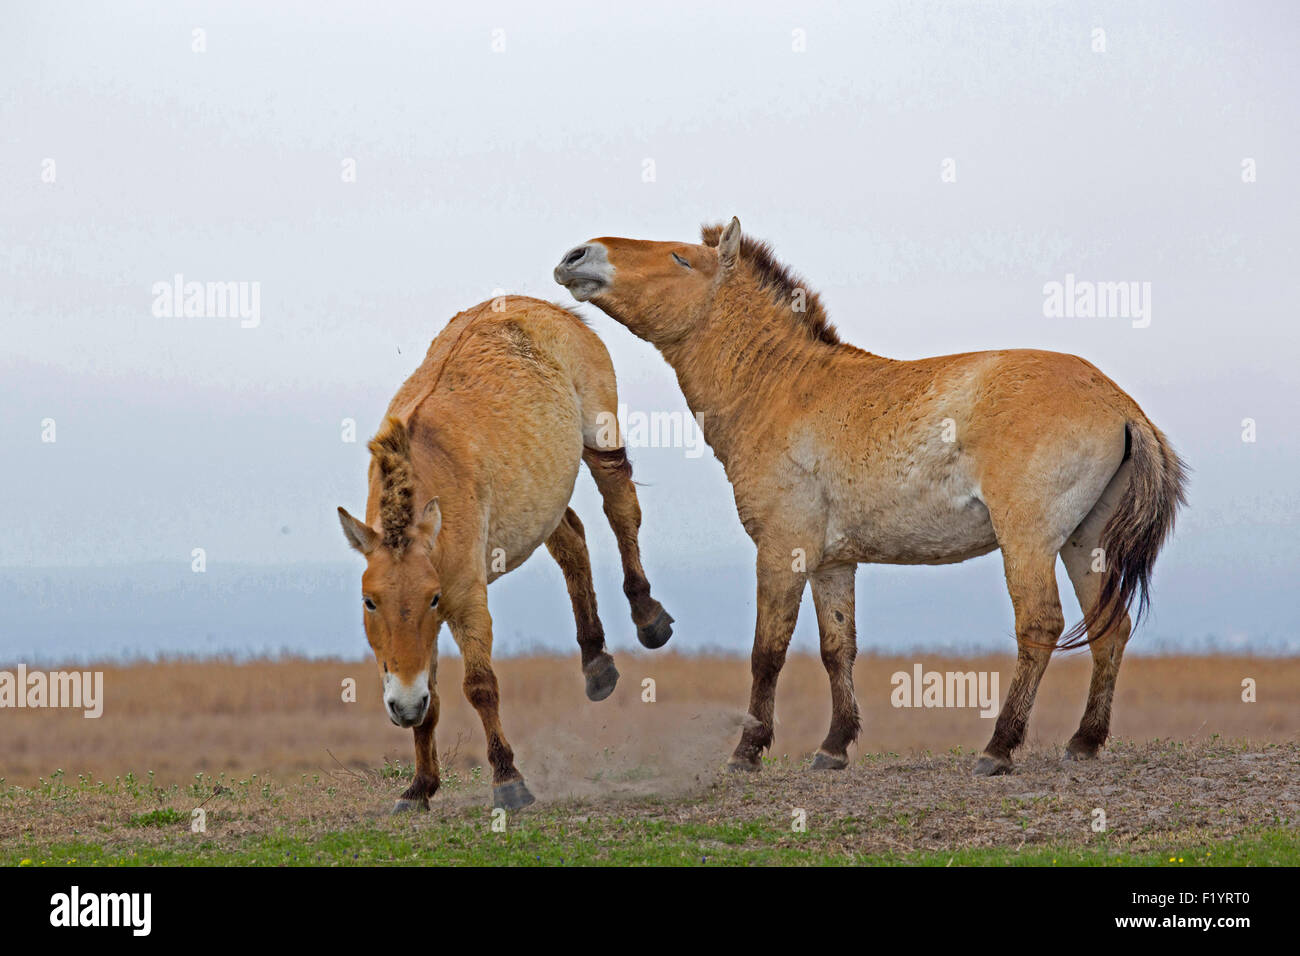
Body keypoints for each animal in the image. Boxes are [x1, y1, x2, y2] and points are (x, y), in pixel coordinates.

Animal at [338, 295, 670, 811]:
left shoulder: (465, 603)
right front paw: (419, 786)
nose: (403, 706)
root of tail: (549, 307)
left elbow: (480, 685)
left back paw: (647, 615)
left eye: (433, 598)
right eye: (369, 601)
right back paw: (596, 665)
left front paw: (508, 779)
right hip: (544, 498)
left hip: (600, 439)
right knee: (572, 544)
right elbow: (432, 696)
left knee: (621, 511)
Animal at [553, 218, 1185, 780]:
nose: (577, 256)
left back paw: (999, 749)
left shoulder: (782, 551)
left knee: (1040, 625)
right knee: (1111, 628)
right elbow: (839, 649)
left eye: (681, 259)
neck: (781, 387)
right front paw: (834, 746)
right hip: (1084, 544)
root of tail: (1120, 405)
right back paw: (1084, 742)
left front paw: (747, 751)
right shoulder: (833, 564)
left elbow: (767, 651)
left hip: (1027, 543)